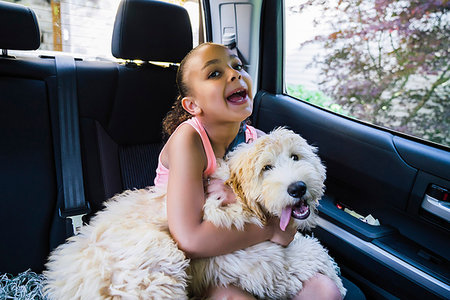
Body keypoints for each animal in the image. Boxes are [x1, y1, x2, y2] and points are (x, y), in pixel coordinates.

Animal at [43, 127, 344, 300]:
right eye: (266, 168)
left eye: (295, 157)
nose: (298, 187)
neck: (241, 199)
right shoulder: (258, 260)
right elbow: (310, 254)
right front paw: (337, 279)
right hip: (158, 262)